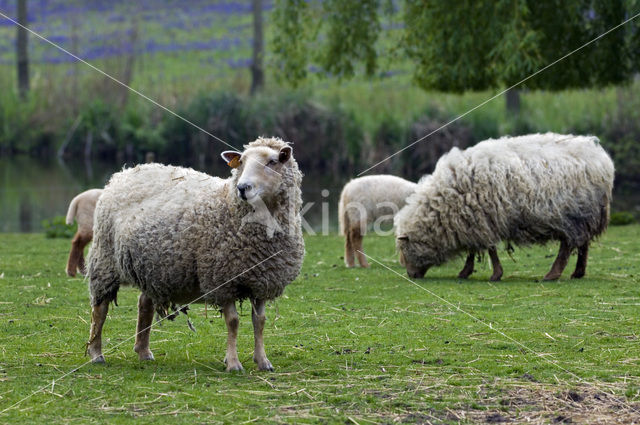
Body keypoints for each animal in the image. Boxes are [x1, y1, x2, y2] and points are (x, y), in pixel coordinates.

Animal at [86, 137, 304, 370]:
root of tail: (124, 173)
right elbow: (233, 322)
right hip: (105, 258)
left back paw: (143, 351)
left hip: (154, 267)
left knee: (144, 303)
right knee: (100, 308)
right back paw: (96, 353)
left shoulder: (262, 281)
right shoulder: (222, 280)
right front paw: (233, 363)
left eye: (272, 161)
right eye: (242, 162)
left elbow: (259, 322)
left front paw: (263, 361)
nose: (242, 188)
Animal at [396, 131, 616, 280]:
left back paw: (553, 274)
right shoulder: (471, 221)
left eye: (405, 250)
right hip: (585, 216)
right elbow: (475, 249)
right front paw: (466, 271)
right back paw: (578, 272)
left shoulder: (481, 220)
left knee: (568, 246)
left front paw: (494, 274)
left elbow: (489, 249)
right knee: (583, 244)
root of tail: (600, 156)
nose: (411, 275)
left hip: (572, 215)